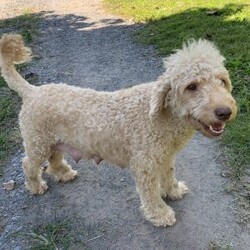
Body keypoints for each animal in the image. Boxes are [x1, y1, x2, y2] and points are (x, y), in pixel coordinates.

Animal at [0, 34, 236, 228]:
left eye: (222, 81)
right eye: (192, 86)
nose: (225, 112)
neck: (162, 116)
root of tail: (32, 91)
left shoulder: (164, 157)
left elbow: (168, 175)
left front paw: (173, 190)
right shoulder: (145, 165)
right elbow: (150, 193)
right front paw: (160, 214)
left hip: (53, 141)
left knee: (54, 159)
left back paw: (63, 173)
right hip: (37, 142)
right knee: (28, 163)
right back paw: (35, 185)